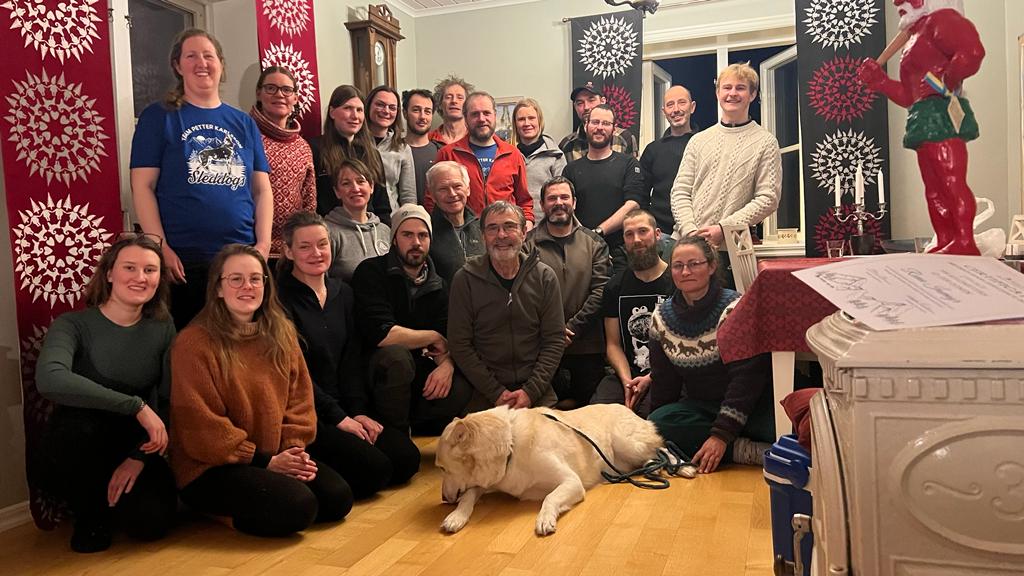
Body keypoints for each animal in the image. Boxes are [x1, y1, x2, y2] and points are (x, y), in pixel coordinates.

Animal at [434, 401, 659, 532]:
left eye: (442, 468)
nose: (443, 498)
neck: (511, 445)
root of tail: (627, 407)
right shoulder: (490, 481)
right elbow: (468, 495)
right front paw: (456, 517)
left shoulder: (571, 481)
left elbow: (550, 497)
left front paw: (544, 518)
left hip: (626, 443)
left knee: (661, 449)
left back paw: (661, 467)